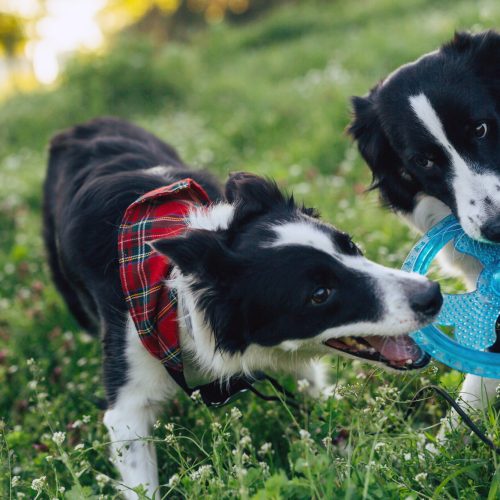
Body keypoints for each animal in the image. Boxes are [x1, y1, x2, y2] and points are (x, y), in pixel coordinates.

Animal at [44, 117, 442, 496]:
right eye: (319, 294)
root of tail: (78, 127)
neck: (177, 297)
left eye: (351, 246)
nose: (433, 296)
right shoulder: (128, 403)